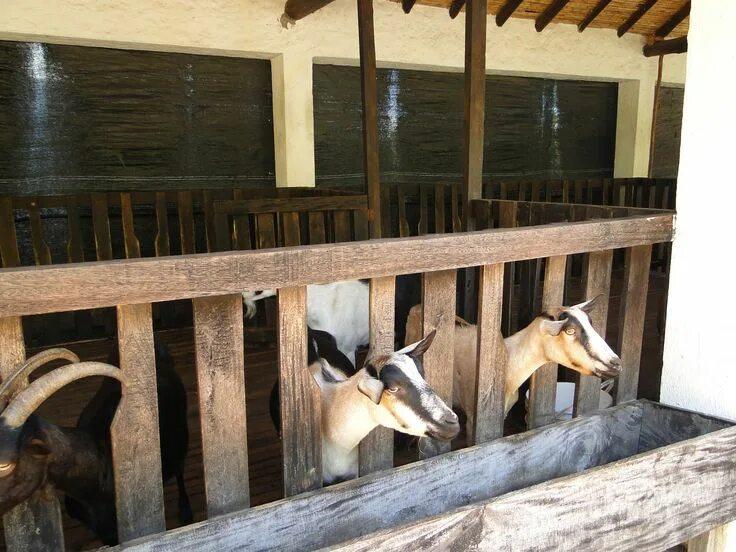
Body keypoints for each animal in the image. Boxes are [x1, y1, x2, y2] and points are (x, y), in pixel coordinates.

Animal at [405, 296, 622, 435]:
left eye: (590, 323)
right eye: (569, 331)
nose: (616, 363)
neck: (509, 363)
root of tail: (417, 306)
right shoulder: (475, 417)